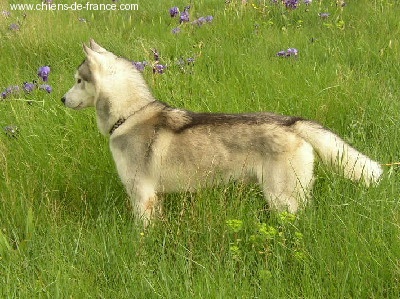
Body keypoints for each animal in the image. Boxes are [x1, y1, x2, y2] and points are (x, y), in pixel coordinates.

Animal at [61, 39, 382, 227]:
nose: (62, 99)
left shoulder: (142, 196)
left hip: (283, 200)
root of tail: (291, 122)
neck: (130, 115)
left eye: (78, 80)